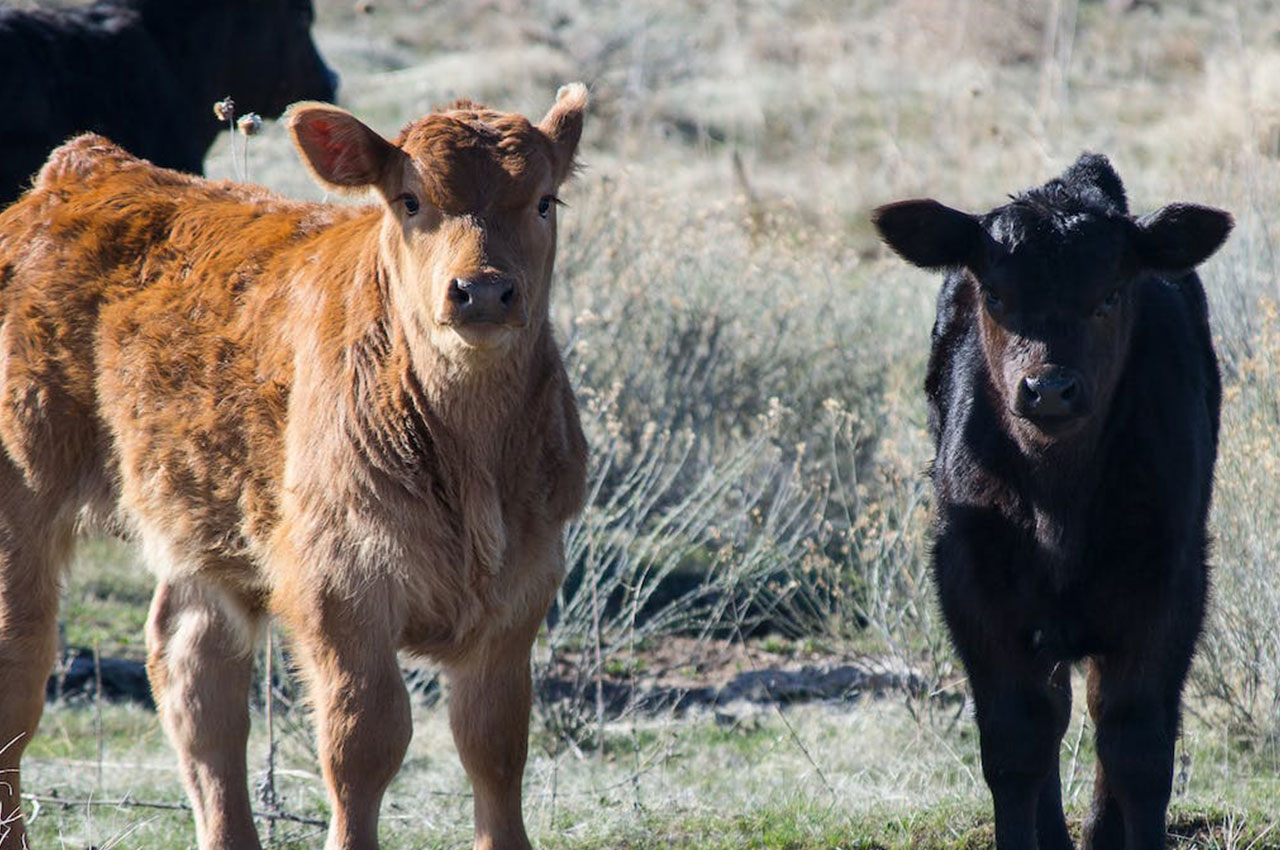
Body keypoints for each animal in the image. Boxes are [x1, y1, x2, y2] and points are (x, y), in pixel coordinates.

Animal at [0, 84, 588, 850]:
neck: (473, 460)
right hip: (19, 495)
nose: (483, 292)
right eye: (410, 200)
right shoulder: (336, 583)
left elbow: (494, 745)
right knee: (18, 676)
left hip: (207, 514)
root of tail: (82, 169)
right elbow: (364, 739)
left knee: (196, 675)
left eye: (545, 201)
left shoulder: (522, 587)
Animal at [870, 156, 1228, 850]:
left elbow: (1139, 744)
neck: (1058, 502)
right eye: (994, 295)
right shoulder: (973, 585)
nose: (1051, 389)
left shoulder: (1170, 584)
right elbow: (1016, 741)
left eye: (1110, 296)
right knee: (1056, 710)